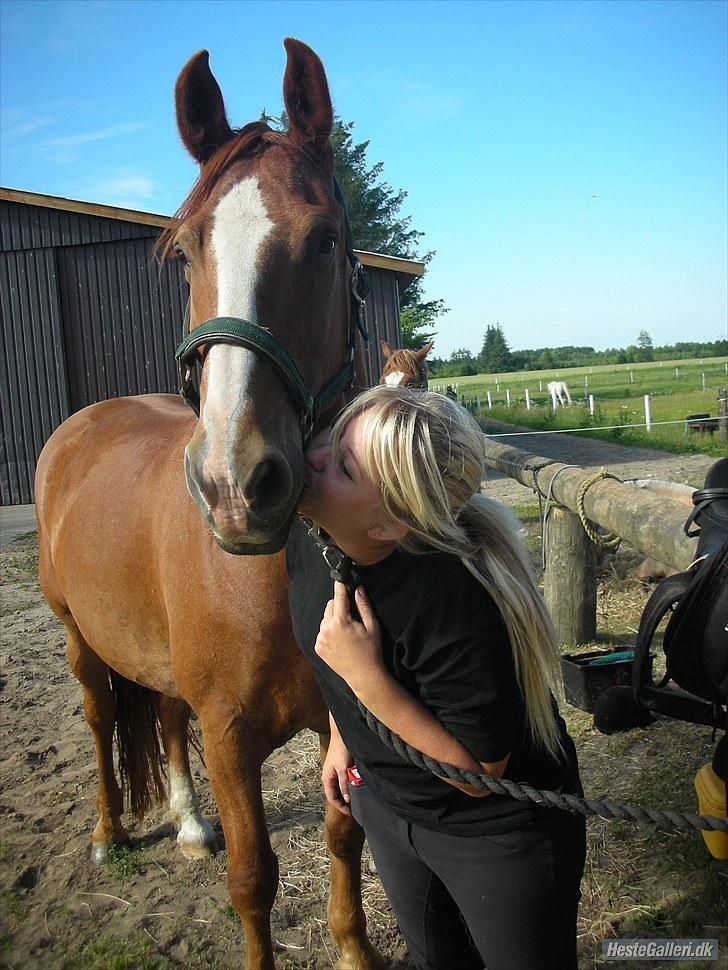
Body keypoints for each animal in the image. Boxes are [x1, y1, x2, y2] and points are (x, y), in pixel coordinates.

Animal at [36, 37, 382, 968]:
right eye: (187, 252)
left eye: (326, 240)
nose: (236, 486)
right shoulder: (229, 739)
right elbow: (253, 881)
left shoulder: (339, 718)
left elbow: (344, 835)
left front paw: (353, 948)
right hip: (80, 639)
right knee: (100, 718)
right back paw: (110, 833)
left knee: (158, 712)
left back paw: (189, 825)